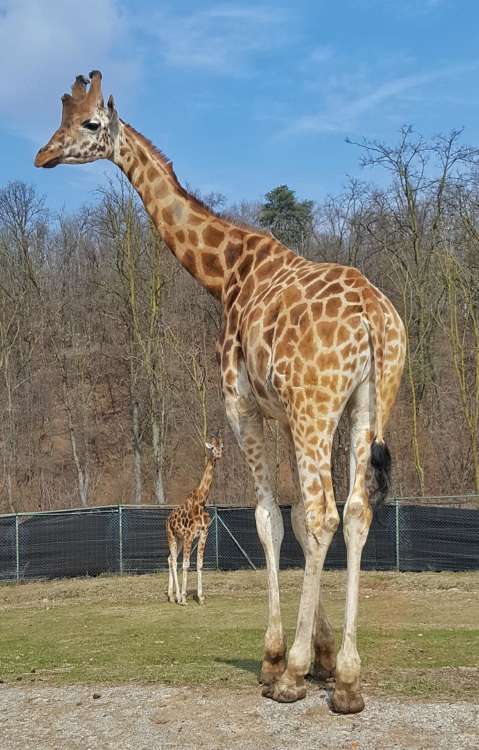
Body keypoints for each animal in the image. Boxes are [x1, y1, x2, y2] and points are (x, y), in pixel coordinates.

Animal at [167, 438, 223, 608]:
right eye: (212, 448)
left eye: (221, 446)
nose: (219, 454)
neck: (201, 501)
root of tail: (168, 519)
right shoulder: (189, 535)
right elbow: (186, 564)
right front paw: (184, 598)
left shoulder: (204, 534)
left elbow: (199, 564)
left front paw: (201, 597)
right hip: (172, 536)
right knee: (174, 561)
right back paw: (178, 597)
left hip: (179, 539)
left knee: (170, 558)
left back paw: (172, 596)